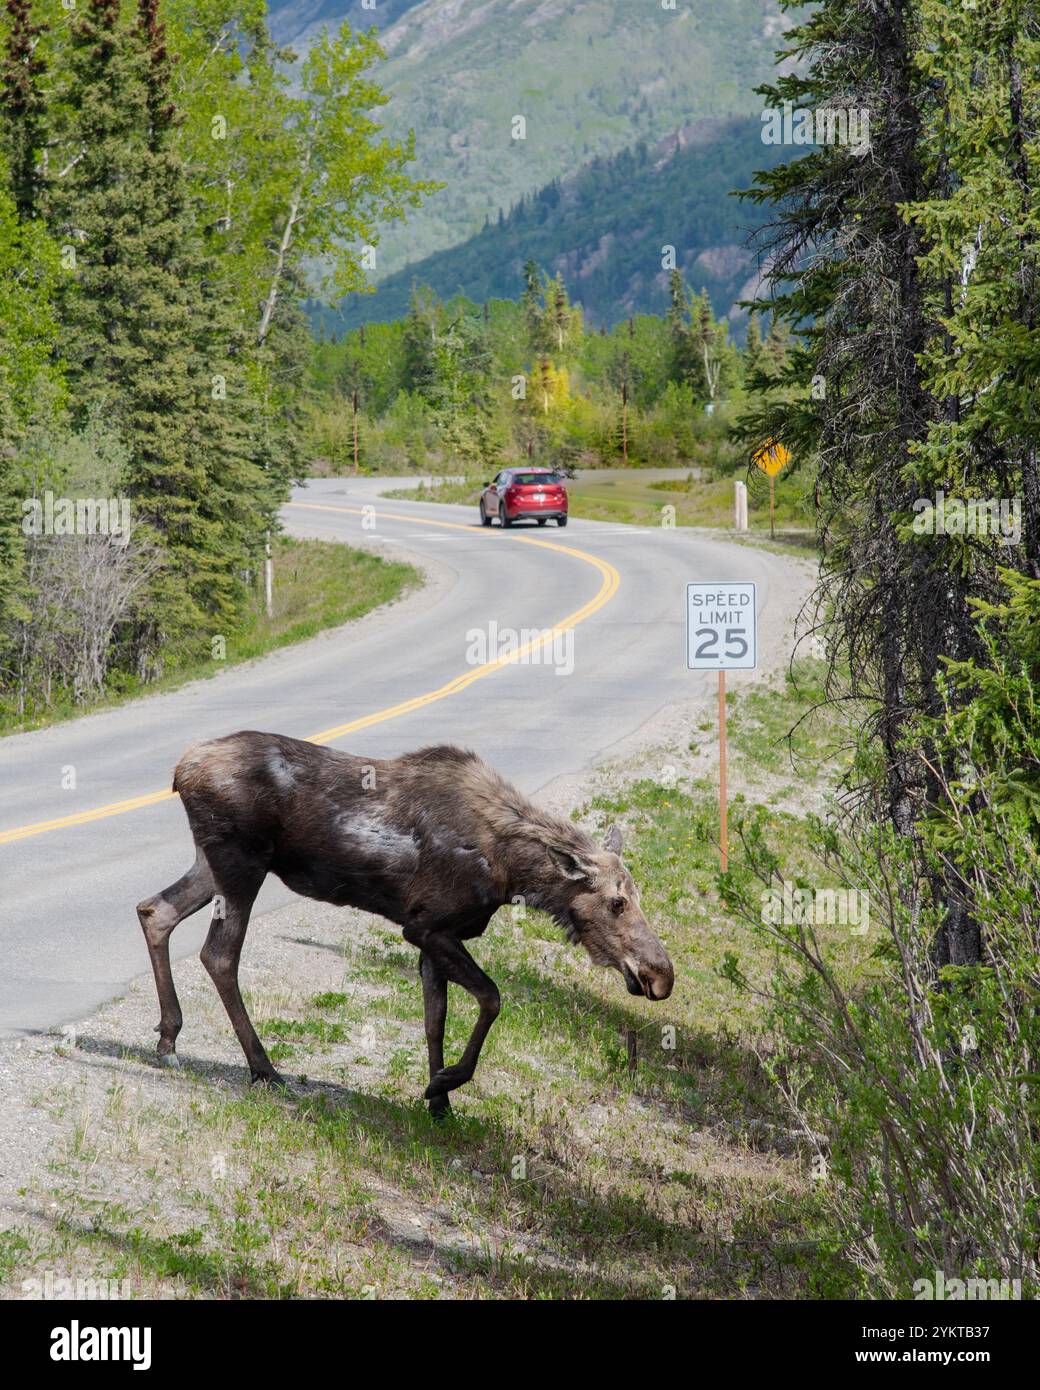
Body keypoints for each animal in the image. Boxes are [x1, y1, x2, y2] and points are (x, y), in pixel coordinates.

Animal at [138, 733, 675, 1112]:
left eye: (636, 896)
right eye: (617, 902)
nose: (660, 976)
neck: (511, 872)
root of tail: (180, 771)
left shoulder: (429, 935)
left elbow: (434, 1019)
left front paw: (439, 1102)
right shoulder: (428, 927)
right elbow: (492, 998)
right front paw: (446, 1081)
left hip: (213, 864)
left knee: (154, 911)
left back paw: (168, 1039)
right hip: (241, 865)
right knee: (218, 954)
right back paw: (263, 1068)